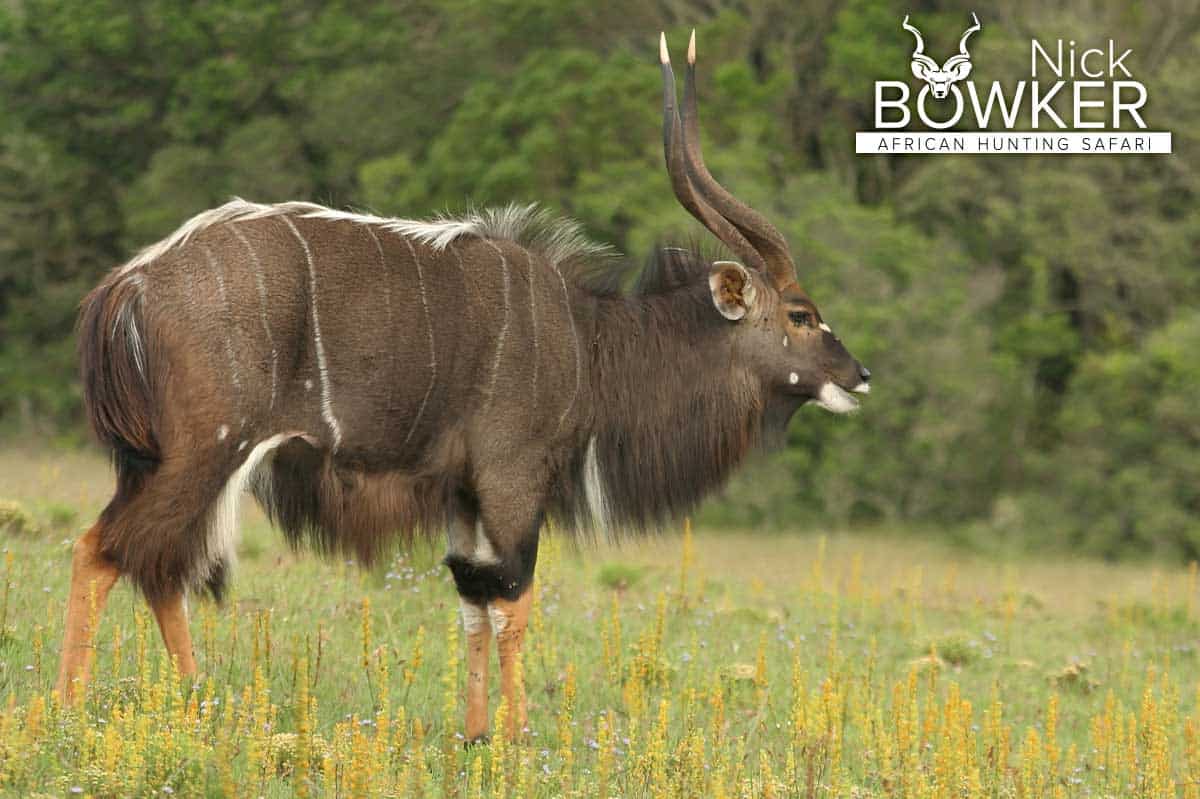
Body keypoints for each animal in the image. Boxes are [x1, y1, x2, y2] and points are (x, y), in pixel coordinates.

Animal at [56, 34, 868, 739]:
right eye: (801, 314)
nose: (858, 376)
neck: (592, 342)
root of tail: (126, 287)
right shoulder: (513, 480)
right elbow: (513, 602)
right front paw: (515, 737)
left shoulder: (463, 493)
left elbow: (473, 601)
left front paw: (475, 735)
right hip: (206, 451)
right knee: (104, 549)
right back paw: (65, 714)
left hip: (159, 461)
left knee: (156, 563)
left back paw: (195, 702)